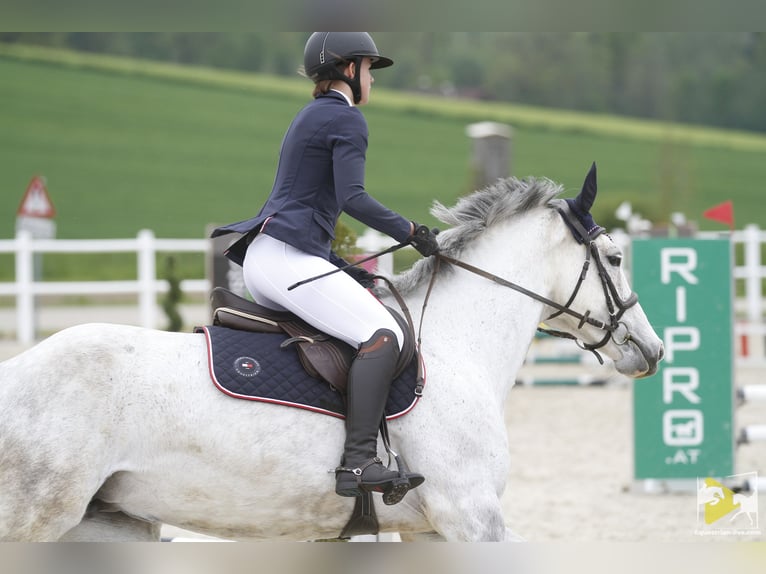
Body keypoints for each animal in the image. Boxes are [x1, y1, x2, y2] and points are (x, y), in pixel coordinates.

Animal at [0, 164, 664, 544]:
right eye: (616, 258)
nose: (651, 347)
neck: (457, 348)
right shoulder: (473, 516)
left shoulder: (432, 530)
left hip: (112, 523)